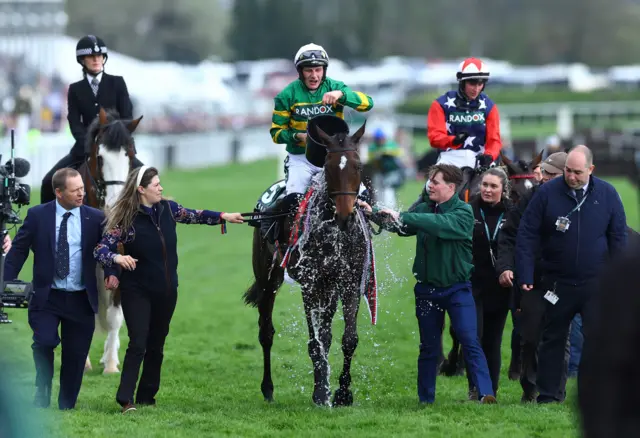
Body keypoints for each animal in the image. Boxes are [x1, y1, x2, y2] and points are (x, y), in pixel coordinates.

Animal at [245, 116, 376, 408]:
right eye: (327, 165)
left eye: (358, 164)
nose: (345, 215)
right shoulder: (311, 283)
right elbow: (315, 342)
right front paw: (320, 392)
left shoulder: (349, 282)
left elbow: (348, 339)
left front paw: (341, 393)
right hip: (268, 278)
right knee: (265, 332)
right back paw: (268, 389)